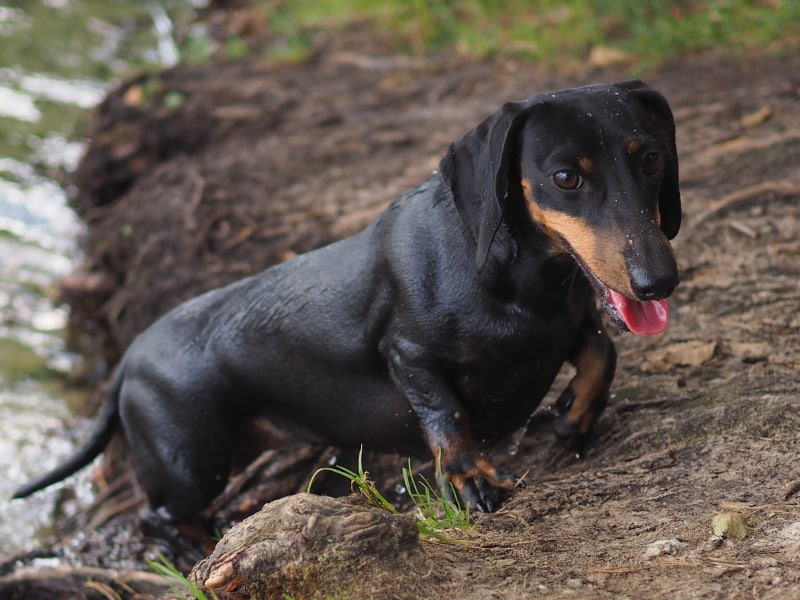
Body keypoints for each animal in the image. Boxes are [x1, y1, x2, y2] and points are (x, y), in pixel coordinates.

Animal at [12, 79, 680, 528]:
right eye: (566, 177)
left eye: (651, 159)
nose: (659, 281)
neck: (516, 282)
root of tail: (130, 353)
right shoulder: (408, 356)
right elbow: (449, 418)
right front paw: (472, 480)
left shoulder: (570, 324)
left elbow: (601, 353)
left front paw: (573, 416)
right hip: (189, 468)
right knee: (156, 520)